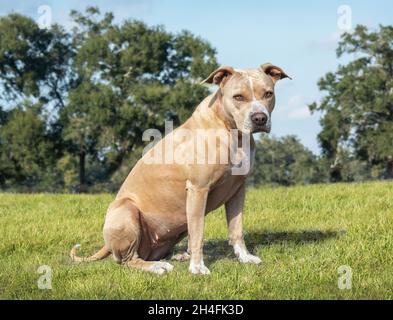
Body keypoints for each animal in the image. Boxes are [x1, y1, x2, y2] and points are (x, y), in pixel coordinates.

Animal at [70, 63, 288, 276]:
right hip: (126, 210)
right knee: (128, 260)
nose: (259, 118)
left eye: (268, 93)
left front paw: (245, 257)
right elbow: (199, 234)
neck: (231, 131)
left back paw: (176, 256)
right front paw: (198, 268)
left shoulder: (237, 190)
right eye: (238, 97)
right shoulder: (198, 189)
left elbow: (236, 228)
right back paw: (157, 267)